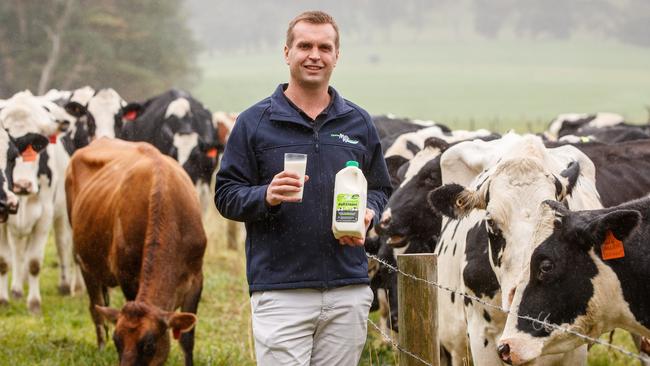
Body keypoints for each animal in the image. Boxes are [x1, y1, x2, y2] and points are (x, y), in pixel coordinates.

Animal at [66, 138, 205, 366]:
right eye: (117, 342)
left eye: (148, 345)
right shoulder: (127, 276)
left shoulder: (196, 277)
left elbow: (187, 340)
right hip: (84, 260)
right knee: (96, 308)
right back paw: (100, 348)